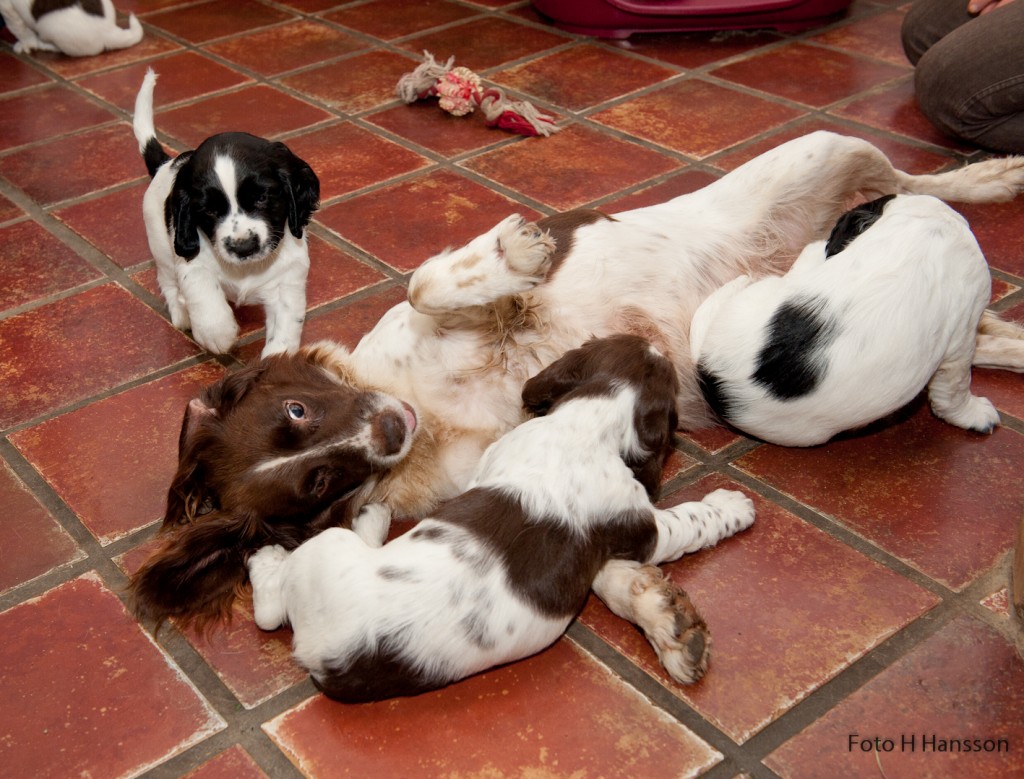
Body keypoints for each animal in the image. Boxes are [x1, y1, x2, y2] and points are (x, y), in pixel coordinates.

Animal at [0, 0, 142, 56]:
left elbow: (19, 30)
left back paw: (43, 44)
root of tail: (110, 29)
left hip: (50, 29)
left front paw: (25, 44)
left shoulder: (7, 7)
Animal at [132, 68, 317, 356]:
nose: (244, 247)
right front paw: (219, 334)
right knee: (168, 282)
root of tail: (165, 164)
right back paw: (182, 314)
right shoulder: (192, 264)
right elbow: (204, 296)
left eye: (262, 197)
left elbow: (284, 333)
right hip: (160, 246)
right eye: (209, 209)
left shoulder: (287, 282)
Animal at [245, 333, 753, 700]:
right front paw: (734, 506)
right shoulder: (643, 523)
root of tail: (313, 650)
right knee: (275, 600)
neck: (584, 423)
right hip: (330, 546)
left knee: (269, 612)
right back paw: (343, 527)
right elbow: (690, 519)